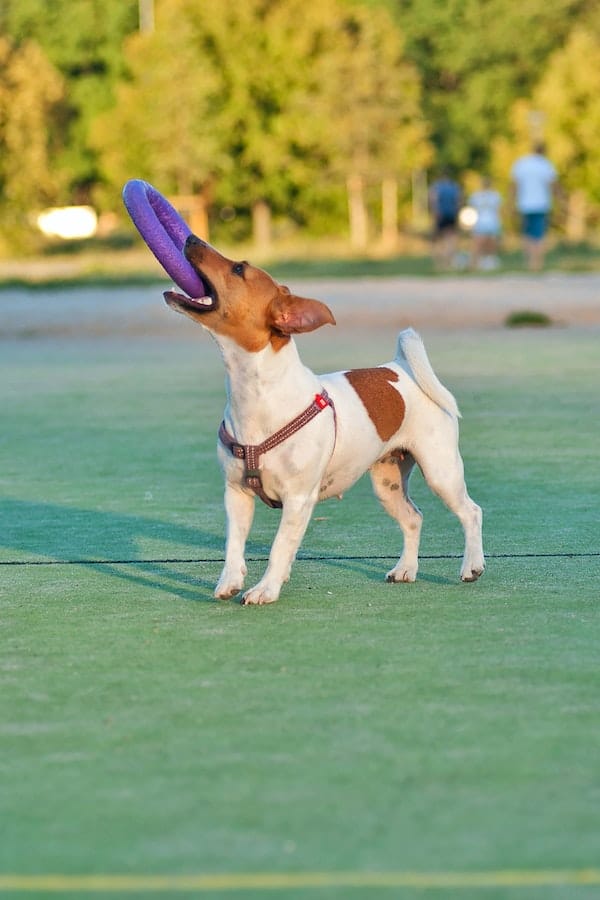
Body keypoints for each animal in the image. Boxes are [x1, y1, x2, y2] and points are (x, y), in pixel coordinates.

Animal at [164, 236, 482, 608]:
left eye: (239, 268)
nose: (190, 238)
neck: (255, 395)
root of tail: (401, 367)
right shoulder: (236, 494)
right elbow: (234, 544)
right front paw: (230, 581)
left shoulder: (298, 500)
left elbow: (279, 548)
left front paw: (266, 589)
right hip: (387, 483)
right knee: (413, 518)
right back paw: (406, 569)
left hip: (441, 472)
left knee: (471, 511)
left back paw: (472, 566)